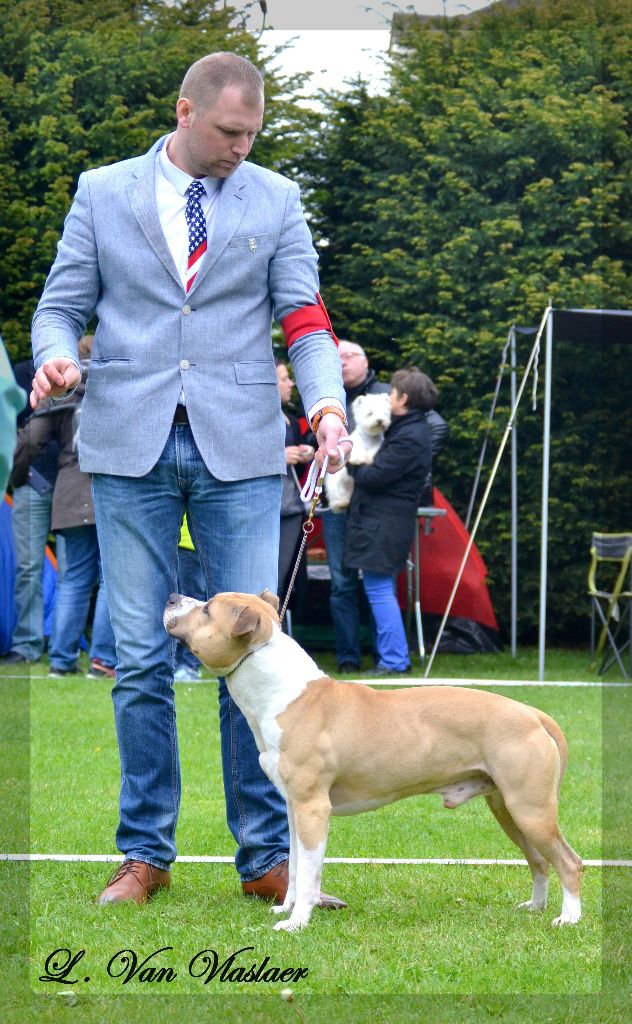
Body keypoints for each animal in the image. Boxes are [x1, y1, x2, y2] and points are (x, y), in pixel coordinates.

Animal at [163, 589, 582, 933]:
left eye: (207, 609)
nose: (171, 596)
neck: (284, 693)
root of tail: (533, 714)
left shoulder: (313, 808)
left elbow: (310, 873)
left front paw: (297, 923)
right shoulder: (295, 809)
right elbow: (297, 867)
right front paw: (286, 909)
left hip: (530, 810)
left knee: (568, 862)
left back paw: (568, 918)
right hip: (508, 809)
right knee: (539, 861)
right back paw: (535, 907)